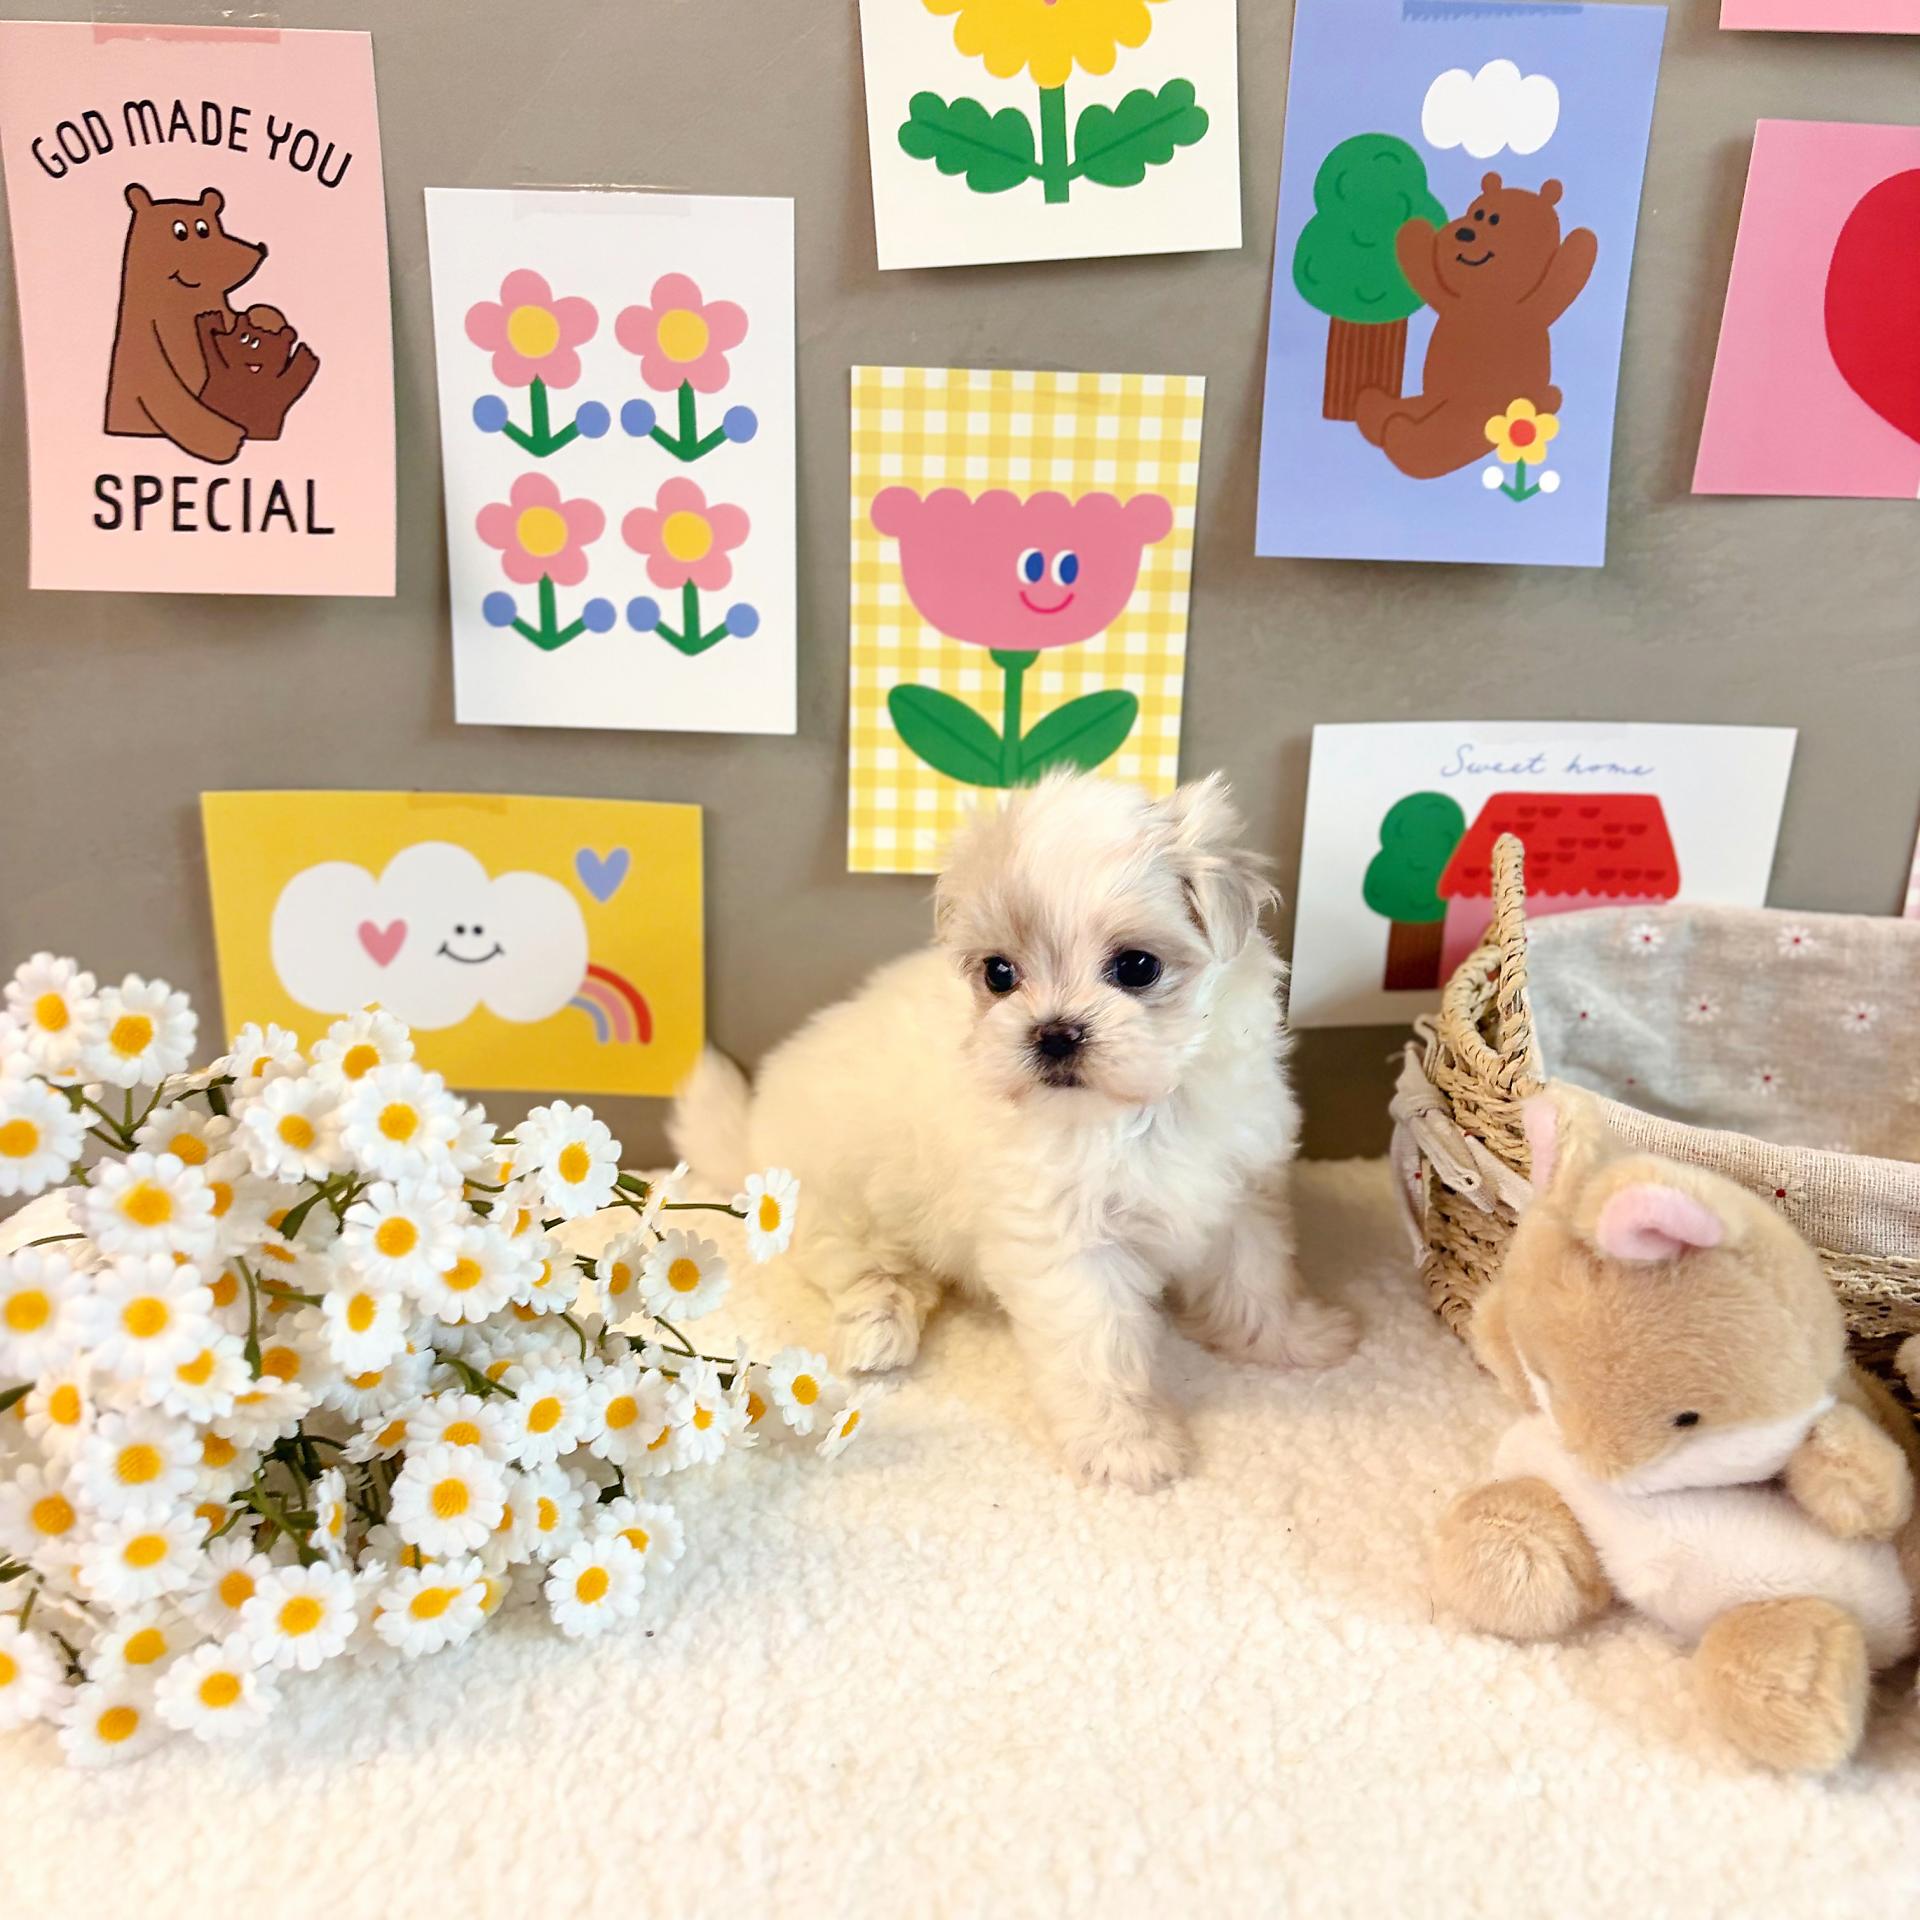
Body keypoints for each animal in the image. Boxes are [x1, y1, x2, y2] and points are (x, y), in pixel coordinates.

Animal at [670, 773, 1357, 1489]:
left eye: (1138, 967)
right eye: (999, 973)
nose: (1053, 1033)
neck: (1135, 1112)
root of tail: (756, 1130)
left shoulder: (1239, 1192)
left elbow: (1255, 1277)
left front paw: (1293, 1340)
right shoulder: (1067, 1247)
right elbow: (1098, 1347)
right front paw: (1125, 1446)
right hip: (843, 1199)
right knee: (867, 1266)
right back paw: (880, 1333)